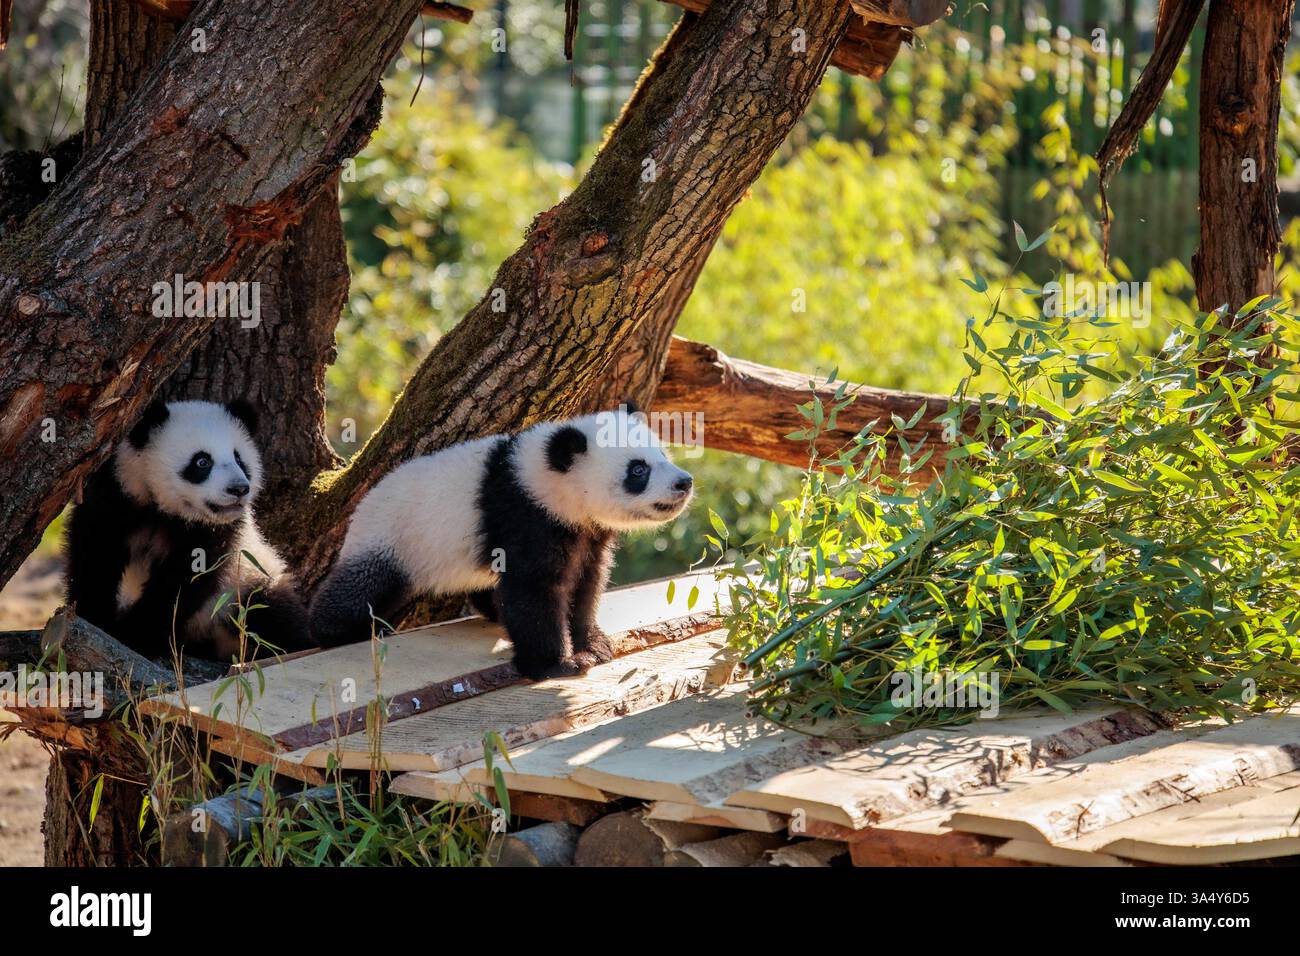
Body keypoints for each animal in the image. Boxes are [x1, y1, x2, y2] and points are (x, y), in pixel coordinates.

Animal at [64, 399, 315, 662]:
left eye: (239, 459)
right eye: (202, 462)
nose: (238, 489)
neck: (164, 509)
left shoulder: (215, 534)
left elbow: (185, 582)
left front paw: (136, 635)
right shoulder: (117, 495)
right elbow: (96, 554)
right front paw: (95, 616)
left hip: (246, 583)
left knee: (272, 614)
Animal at [309, 405, 694, 680]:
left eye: (663, 455)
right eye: (638, 470)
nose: (684, 482)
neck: (547, 479)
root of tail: (361, 506)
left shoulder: (584, 531)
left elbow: (587, 583)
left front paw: (594, 645)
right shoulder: (524, 513)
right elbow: (533, 589)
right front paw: (556, 664)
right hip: (392, 538)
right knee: (360, 588)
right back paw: (332, 629)